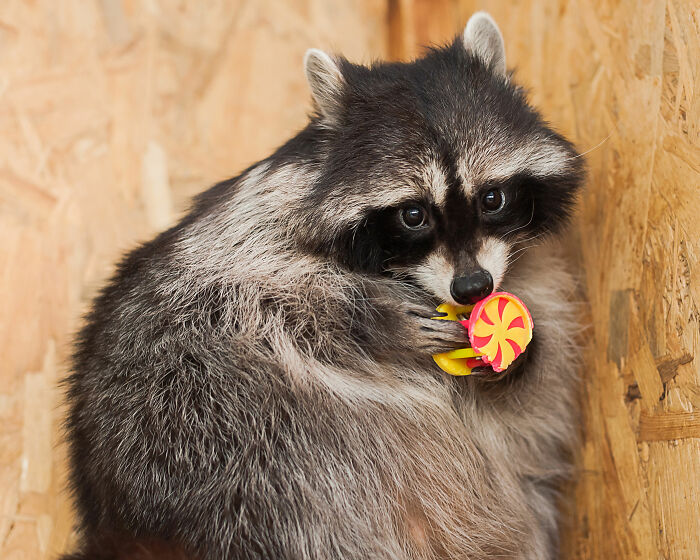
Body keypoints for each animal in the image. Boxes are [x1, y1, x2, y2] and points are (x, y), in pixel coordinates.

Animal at [63, 12, 585, 560]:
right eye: (413, 215)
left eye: (492, 198)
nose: (472, 288)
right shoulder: (243, 231)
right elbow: (249, 290)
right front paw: (370, 317)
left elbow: (533, 396)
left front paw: (520, 353)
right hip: (210, 439)